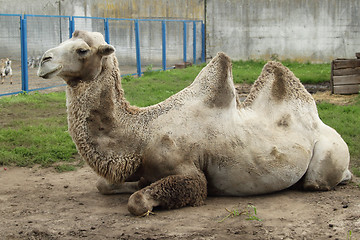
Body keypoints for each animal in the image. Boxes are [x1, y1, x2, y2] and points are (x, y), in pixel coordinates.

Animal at [37, 30, 352, 216]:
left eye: (82, 50)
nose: (43, 60)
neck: (142, 134)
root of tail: (327, 127)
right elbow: (105, 184)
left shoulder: (191, 175)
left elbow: (138, 201)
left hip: (328, 153)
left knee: (316, 182)